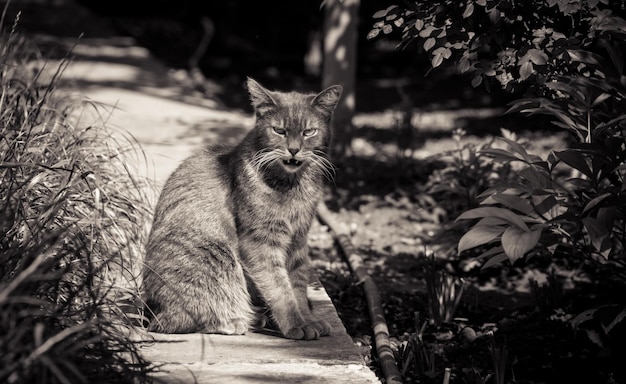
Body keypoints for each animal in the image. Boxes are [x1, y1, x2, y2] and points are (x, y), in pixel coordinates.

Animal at [143, 77, 342, 340]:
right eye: (279, 130)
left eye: (309, 132)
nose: (294, 149)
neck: (292, 187)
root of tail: (152, 313)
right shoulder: (260, 242)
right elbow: (281, 289)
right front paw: (296, 324)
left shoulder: (298, 240)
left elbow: (298, 285)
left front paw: (309, 319)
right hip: (216, 259)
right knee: (183, 320)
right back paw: (238, 320)